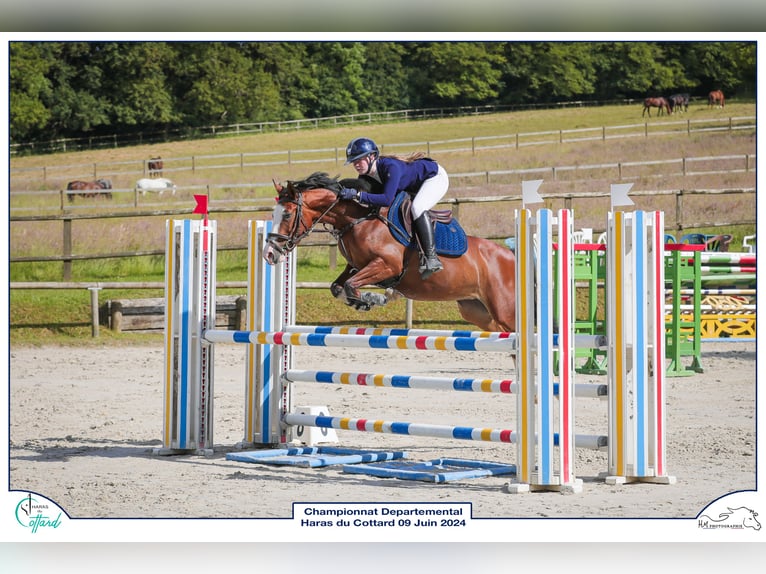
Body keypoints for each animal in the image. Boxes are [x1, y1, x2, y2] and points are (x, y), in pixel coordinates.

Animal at [264, 172, 520, 332]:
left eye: (287, 214)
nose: (269, 253)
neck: (357, 219)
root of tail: (510, 255)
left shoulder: (387, 265)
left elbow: (351, 286)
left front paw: (376, 297)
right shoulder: (356, 266)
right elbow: (338, 287)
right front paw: (366, 301)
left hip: (505, 311)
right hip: (477, 312)